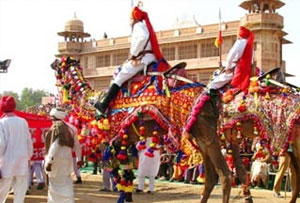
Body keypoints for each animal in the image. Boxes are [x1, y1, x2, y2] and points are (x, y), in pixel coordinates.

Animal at [51, 56, 300, 203]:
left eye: (59, 64)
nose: (52, 64)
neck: (93, 101)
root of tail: (208, 97)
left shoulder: (115, 136)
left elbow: (117, 170)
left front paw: (124, 196)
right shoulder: (231, 139)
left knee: (225, 175)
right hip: (204, 136)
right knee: (216, 176)